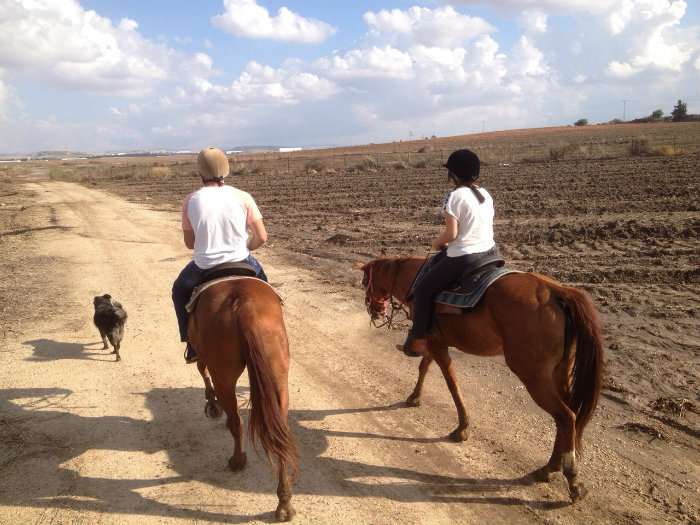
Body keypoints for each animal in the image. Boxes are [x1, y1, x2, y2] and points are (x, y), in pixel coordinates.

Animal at [186, 276, 298, 520]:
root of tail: (244, 304)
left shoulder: (201, 353)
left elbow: (200, 367)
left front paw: (212, 405)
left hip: (224, 375)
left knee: (236, 421)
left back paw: (238, 460)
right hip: (277, 373)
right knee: (280, 434)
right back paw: (284, 503)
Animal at [358, 252, 604, 502]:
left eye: (364, 282)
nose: (374, 311)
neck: (417, 280)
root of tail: (557, 292)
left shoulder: (437, 344)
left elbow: (451, 382)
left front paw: (462, 428)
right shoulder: (434, 341)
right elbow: (424, 367)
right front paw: (414, 398)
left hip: (533, 376)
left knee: (566, 416)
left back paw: (572, 479)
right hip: (560, 371)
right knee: (565, 418)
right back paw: (549, 468)